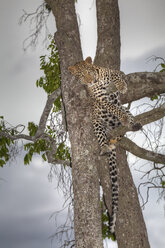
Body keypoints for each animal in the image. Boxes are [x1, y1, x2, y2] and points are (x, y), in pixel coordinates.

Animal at [67, 56, 141, 236]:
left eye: (89, 71)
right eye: (81, 76)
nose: (90, 80)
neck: (97, 81)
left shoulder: (115, 73)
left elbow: (118, 77)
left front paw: (122, 87)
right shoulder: (100, 98)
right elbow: (111, 106)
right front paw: (120, 113)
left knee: (126, 120)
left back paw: (131, 124)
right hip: (96, 124)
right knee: (104, 138)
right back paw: (106, 147)